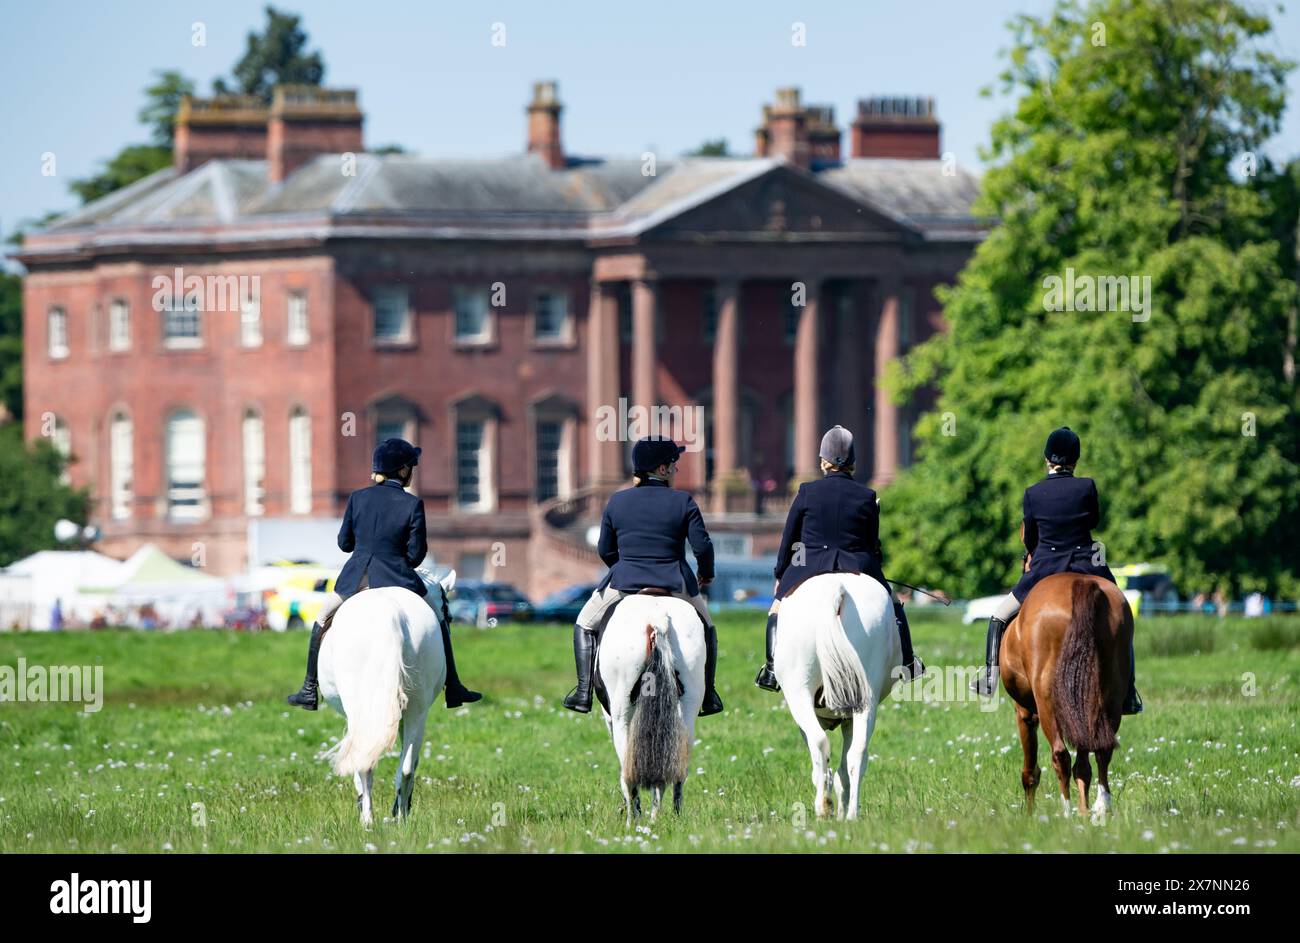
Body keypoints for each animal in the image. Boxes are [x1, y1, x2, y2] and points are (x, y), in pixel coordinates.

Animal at [317, 567, 454, 822]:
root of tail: (391, 615)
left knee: (366, 762)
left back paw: (368, 820)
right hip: (416, 710)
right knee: (407, 766)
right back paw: (400, 817)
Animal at [600, 595, 707, 822]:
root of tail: (658, 617)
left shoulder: (611, 719)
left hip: (622, 716)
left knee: (628, 775)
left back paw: (633, 820)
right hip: (687, 709)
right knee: (675, 769)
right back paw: (665, 816)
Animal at [774, 569, 899, 822]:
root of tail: (836, 588)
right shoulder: (849, 717)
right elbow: (844, 769)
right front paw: (842, 810)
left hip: (798, 692)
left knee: (820, 742)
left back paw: (823, 807)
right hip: (865, 699)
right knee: (858, 753)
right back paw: (850, 815)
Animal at [998, 569, 1133, 822]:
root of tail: (1081, 582)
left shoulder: (1024, 712)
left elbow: (1030, 771)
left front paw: (1029, 815)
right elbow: (1084, 766)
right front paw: (1085, 810)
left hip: (1048, 703)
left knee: (1060, 755)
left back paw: (1066, 813)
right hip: (1107, 695)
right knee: (1101, 751)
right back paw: (1100, 809)